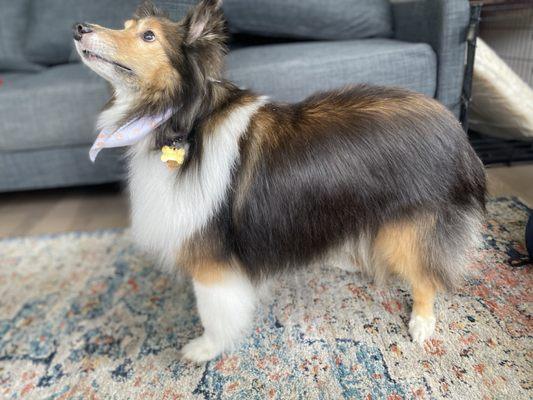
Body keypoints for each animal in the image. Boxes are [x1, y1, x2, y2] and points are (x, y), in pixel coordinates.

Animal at [72, 0, 484, 362]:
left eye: (148, 36)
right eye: (126, 26)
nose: (79, 28)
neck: (183, 120)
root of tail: (454, 130)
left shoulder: (210, 261)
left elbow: (213, 313)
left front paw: (204, 349)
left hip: (409, 227)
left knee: (425, 275)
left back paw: (422, 322)